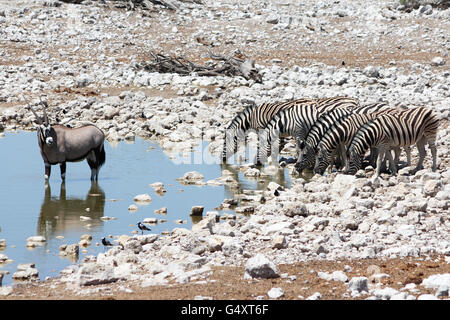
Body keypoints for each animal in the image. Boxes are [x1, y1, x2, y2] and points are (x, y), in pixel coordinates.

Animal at [220, 96, 360, 164]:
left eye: (224, 143)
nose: (222, 160)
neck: (251, 118)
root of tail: (354, 100)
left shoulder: (262, 129)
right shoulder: (279, 132)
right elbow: (279, 146)